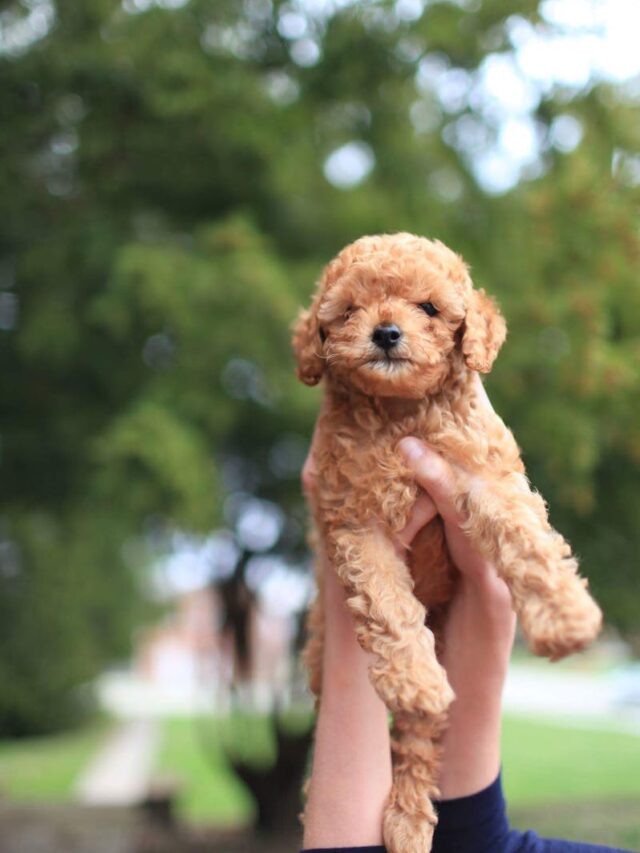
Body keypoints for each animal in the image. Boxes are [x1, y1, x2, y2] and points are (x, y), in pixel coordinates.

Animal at [292, 233, 604, 852]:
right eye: (350, 310)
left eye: (430, 308)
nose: (386, 332)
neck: (400, 411)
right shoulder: (355, 522)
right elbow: (389, 606)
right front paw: (413, 679)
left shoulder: (485, 473)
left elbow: (529, 543)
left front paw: (566, 616)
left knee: (419, 741)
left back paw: (408, 820)